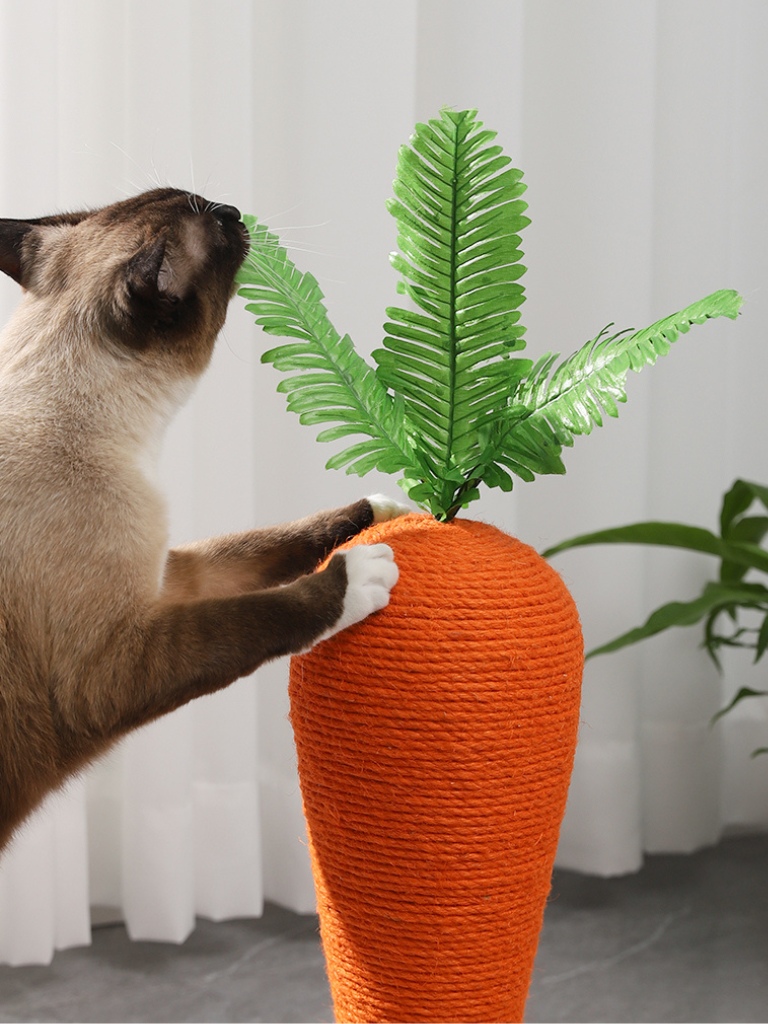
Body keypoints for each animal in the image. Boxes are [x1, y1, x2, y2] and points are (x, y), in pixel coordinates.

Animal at [0, 188, 405, 851]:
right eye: (216, 224)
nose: (235, 210)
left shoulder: (170, 577)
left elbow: (266, 545)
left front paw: (385, 511)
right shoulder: (114, 664)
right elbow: (257, 616)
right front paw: (360, 574)